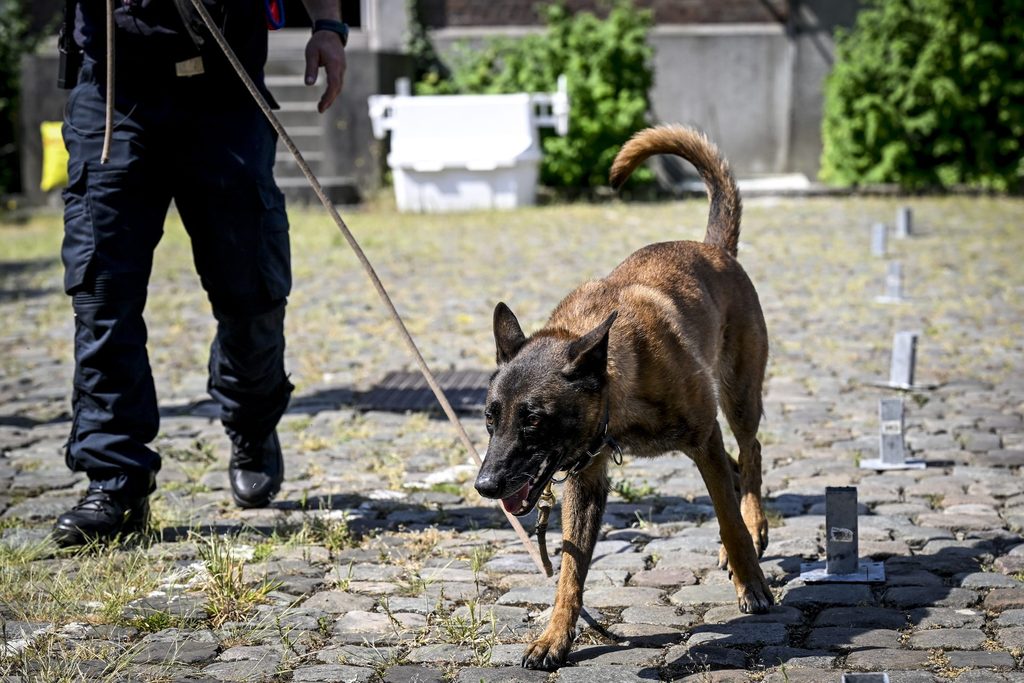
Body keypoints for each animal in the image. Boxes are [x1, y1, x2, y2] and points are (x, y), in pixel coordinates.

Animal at [475, 125, 770, 671]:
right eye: (490, 418)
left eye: (533, 419)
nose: (485, 486)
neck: (617, 386)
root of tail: (714, 249)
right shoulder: (585, 482)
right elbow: (570, 570)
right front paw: (555, 637)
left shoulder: (705, 440)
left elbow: (725, 515)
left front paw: (751, 582)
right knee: (740, 468)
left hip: (739, 395)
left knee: (751, 453)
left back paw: (754, 526)